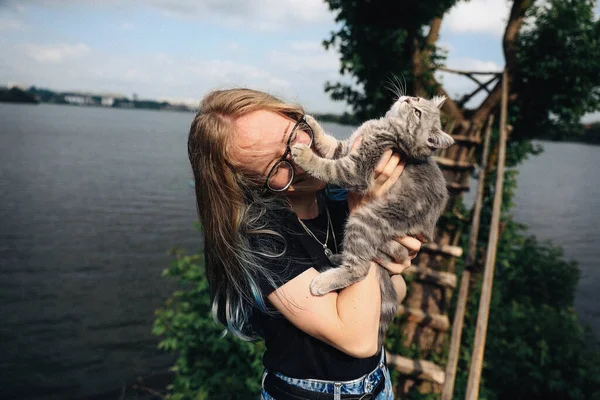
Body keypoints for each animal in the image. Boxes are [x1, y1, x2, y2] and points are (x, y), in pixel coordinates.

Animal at [292, 95, 454, 346]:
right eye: (417, 101)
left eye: (418, 112)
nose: (408, 98)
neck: (384, 126)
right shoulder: (346, 148)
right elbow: (329, 144)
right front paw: (311, 122)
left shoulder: (356, 169)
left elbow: (327, 167)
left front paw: (305, 155)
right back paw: (337, 257)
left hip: (365, 219)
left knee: (360, 268)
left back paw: (326, 280)